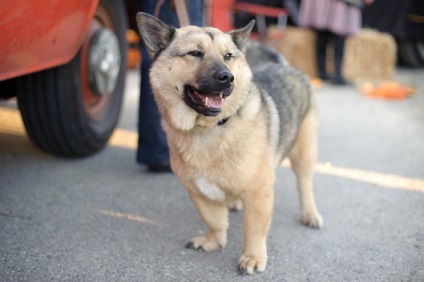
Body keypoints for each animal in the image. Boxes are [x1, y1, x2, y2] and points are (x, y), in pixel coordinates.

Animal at [137, 12, 322, 274]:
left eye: (228, 56)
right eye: (195, 53)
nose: (227, 77)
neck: (208, 128)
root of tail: (286, 66)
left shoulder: (259, 192)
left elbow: (253, 229)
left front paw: (253, 257)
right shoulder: (198, 192)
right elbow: (214, 221)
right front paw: (214, 242)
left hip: (304, 153)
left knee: (305, 184)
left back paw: (310, 214)